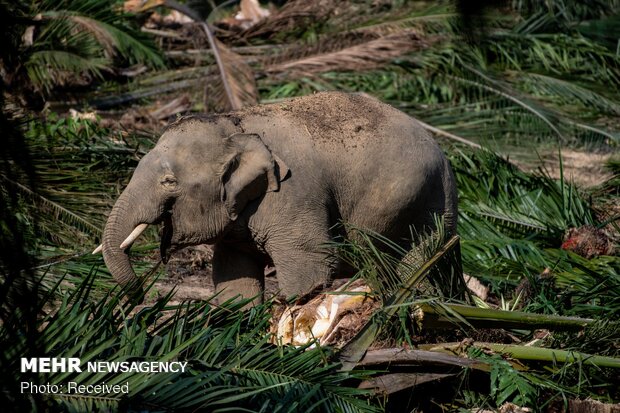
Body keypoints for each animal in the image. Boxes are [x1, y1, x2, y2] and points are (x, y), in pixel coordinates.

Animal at [101, 91, 458, 302]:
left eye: (169, 181)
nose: (139, 297)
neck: (234, 124)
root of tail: (443, 155)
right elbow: (234, 279)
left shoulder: (294, 195)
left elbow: (311, 267)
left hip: (411, 203)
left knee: (409, 266)